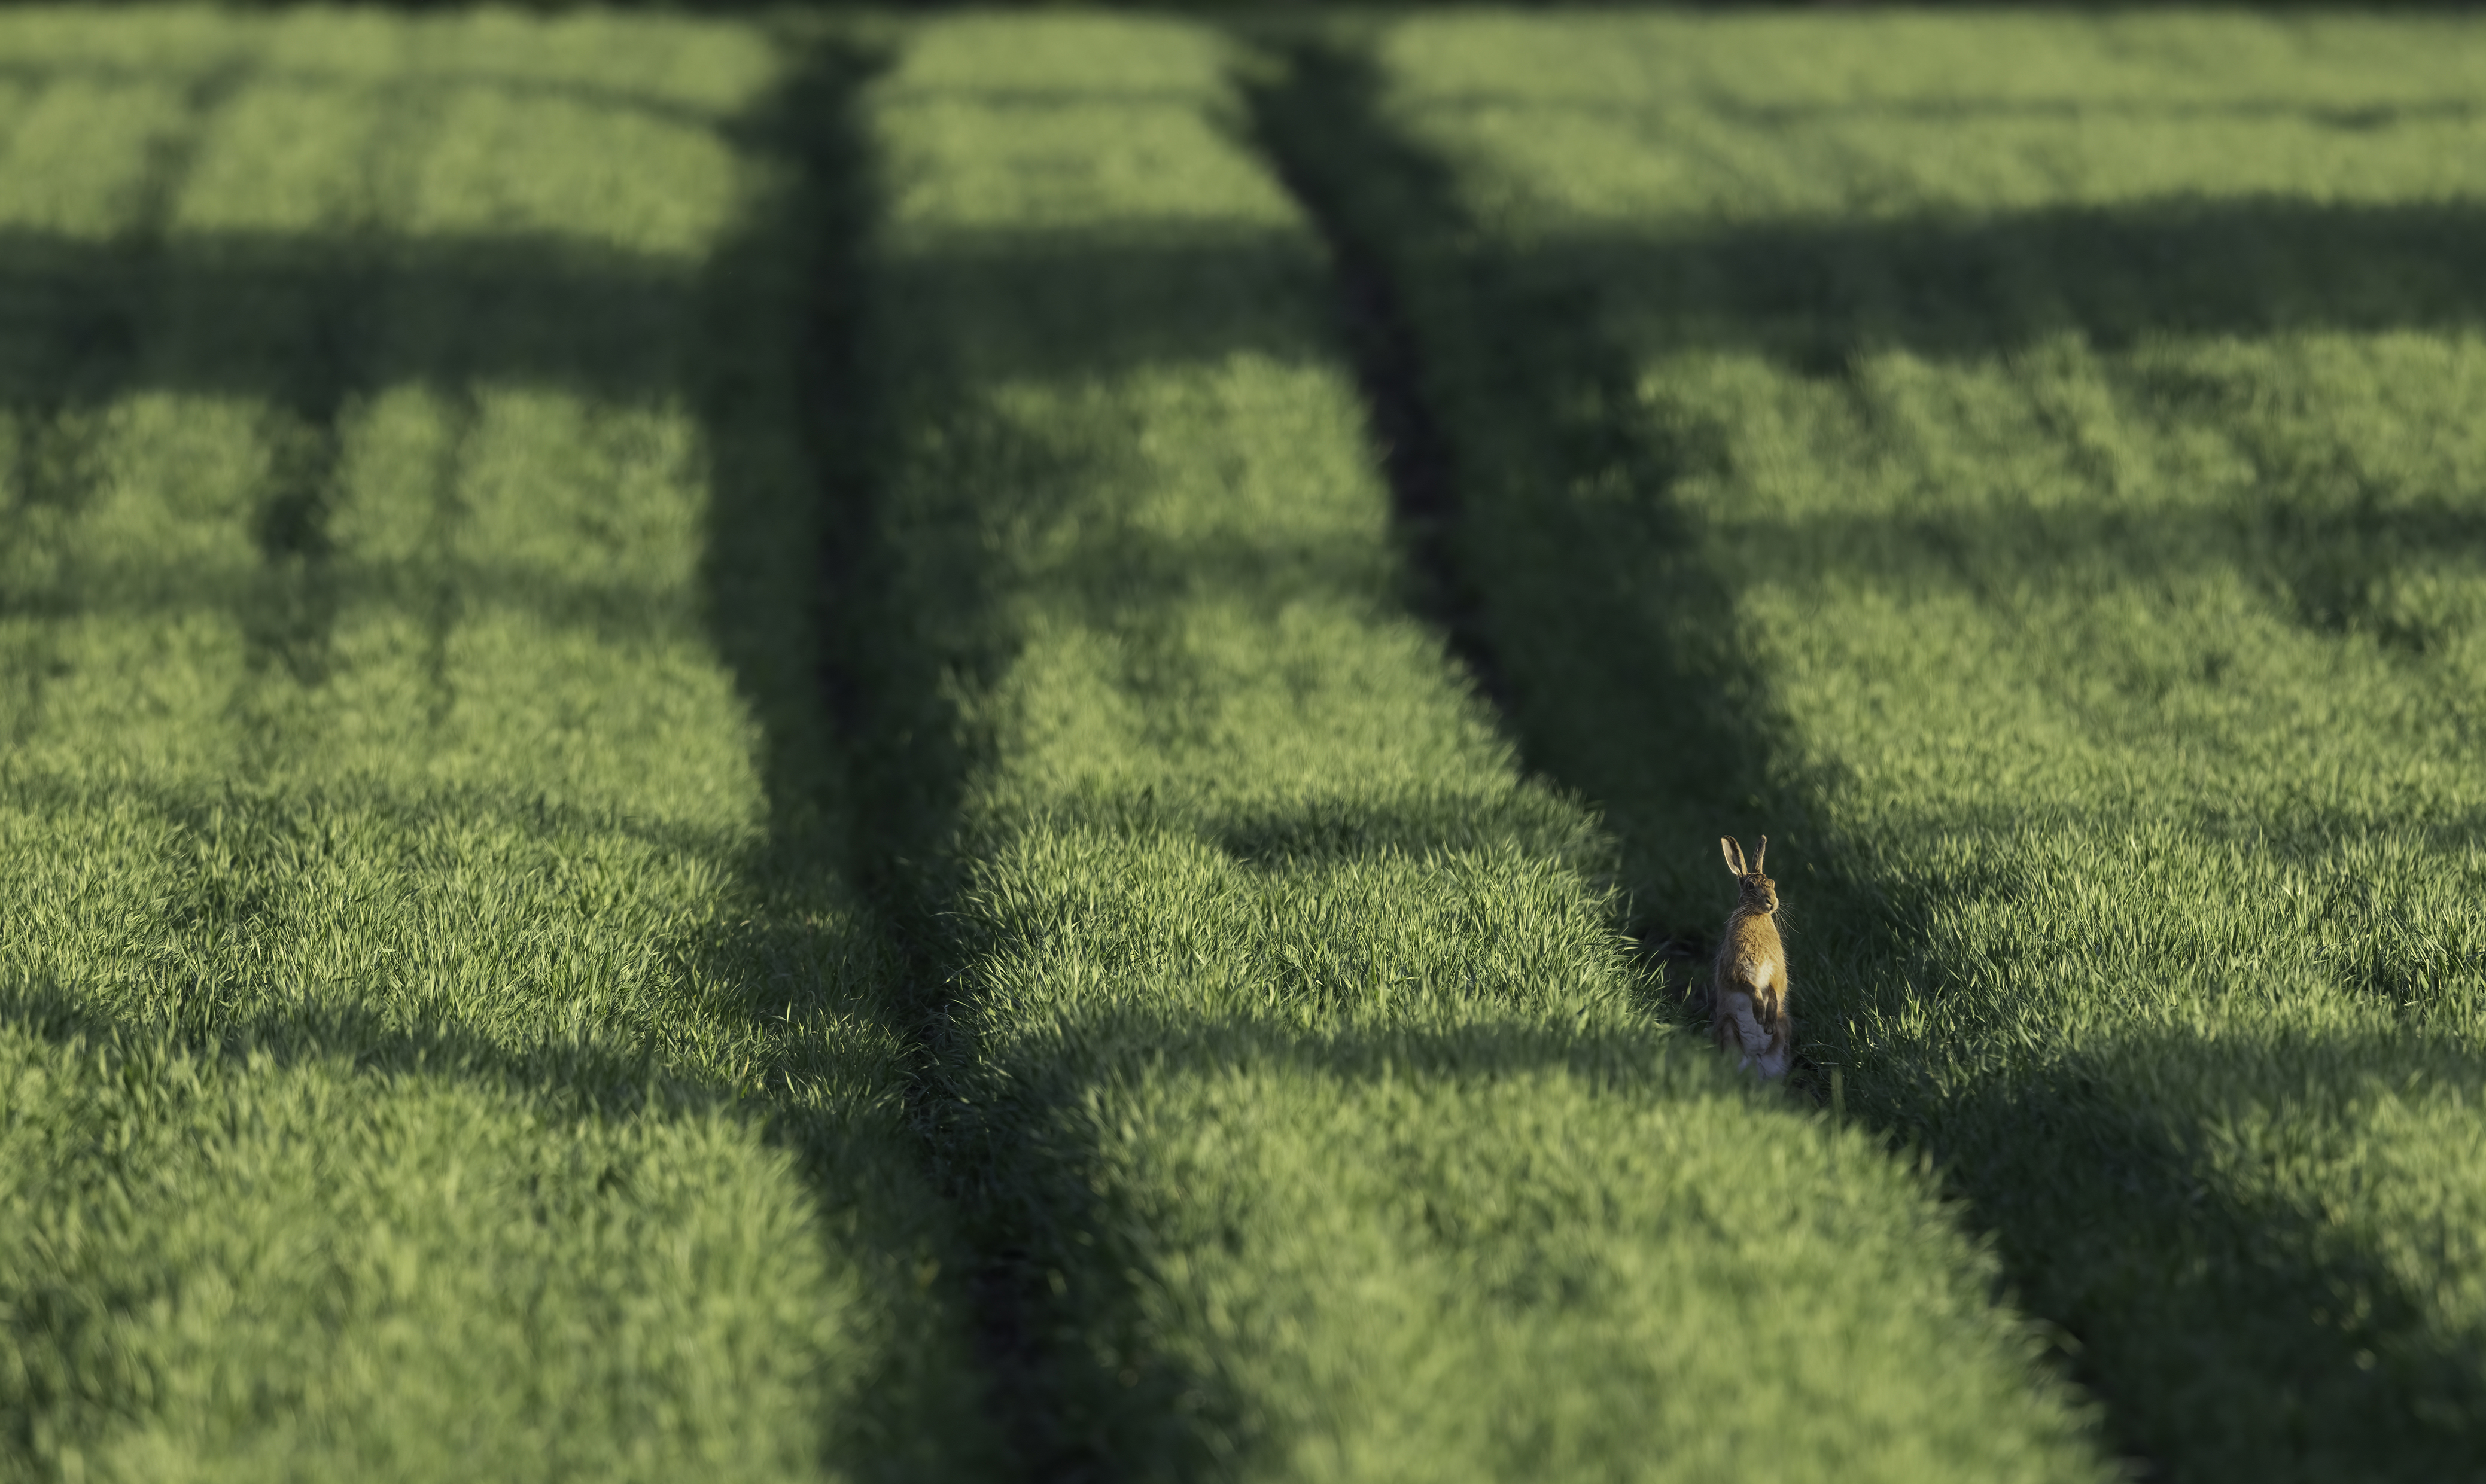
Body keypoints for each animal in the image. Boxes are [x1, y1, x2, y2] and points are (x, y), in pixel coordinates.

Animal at [1710, 835, 1790, 1079]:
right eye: (1750, 886)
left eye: (1772, 883)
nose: (1772, 902)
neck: (1755, 915)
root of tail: (1756, 1058)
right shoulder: (1735, 970)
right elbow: (1751, 988)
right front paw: (1759, 1016)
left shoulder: (1775, 970)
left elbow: (1773, 991)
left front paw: (1767, 1024)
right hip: (1727, 1027)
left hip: (1785, 1030)